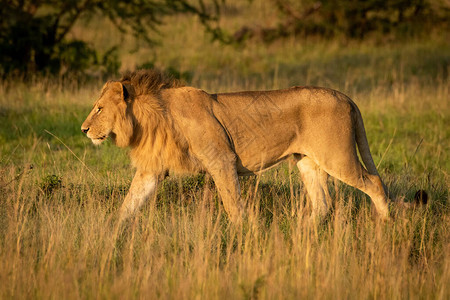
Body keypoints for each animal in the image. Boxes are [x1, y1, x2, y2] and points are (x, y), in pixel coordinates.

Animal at [81, 68, 390, 223]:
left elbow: (232, 204)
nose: (83, 130)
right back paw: (303, 232)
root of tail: (345, 96)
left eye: (99, 109)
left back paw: (386, 225)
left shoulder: (222, 159)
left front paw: (241, 234)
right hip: (307, 161)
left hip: (337, 156)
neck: (151, 118)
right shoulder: (151, 171)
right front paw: (111, 233)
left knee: (375, 183)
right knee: (323, 203)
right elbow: (129, 204)